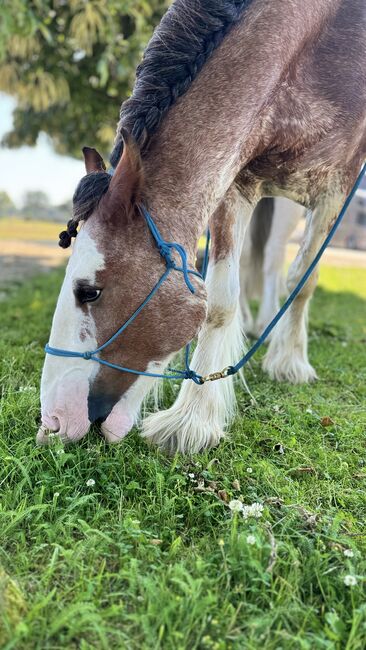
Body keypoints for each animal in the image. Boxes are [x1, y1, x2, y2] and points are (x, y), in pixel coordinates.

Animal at [37, 1, 366, 450]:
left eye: (89, 292)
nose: (53, 421)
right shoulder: (234, 181)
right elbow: (220, 301)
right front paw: (194, 418)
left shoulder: (338, 185)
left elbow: (304, 279)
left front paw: (291, 363)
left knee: (276, 263)